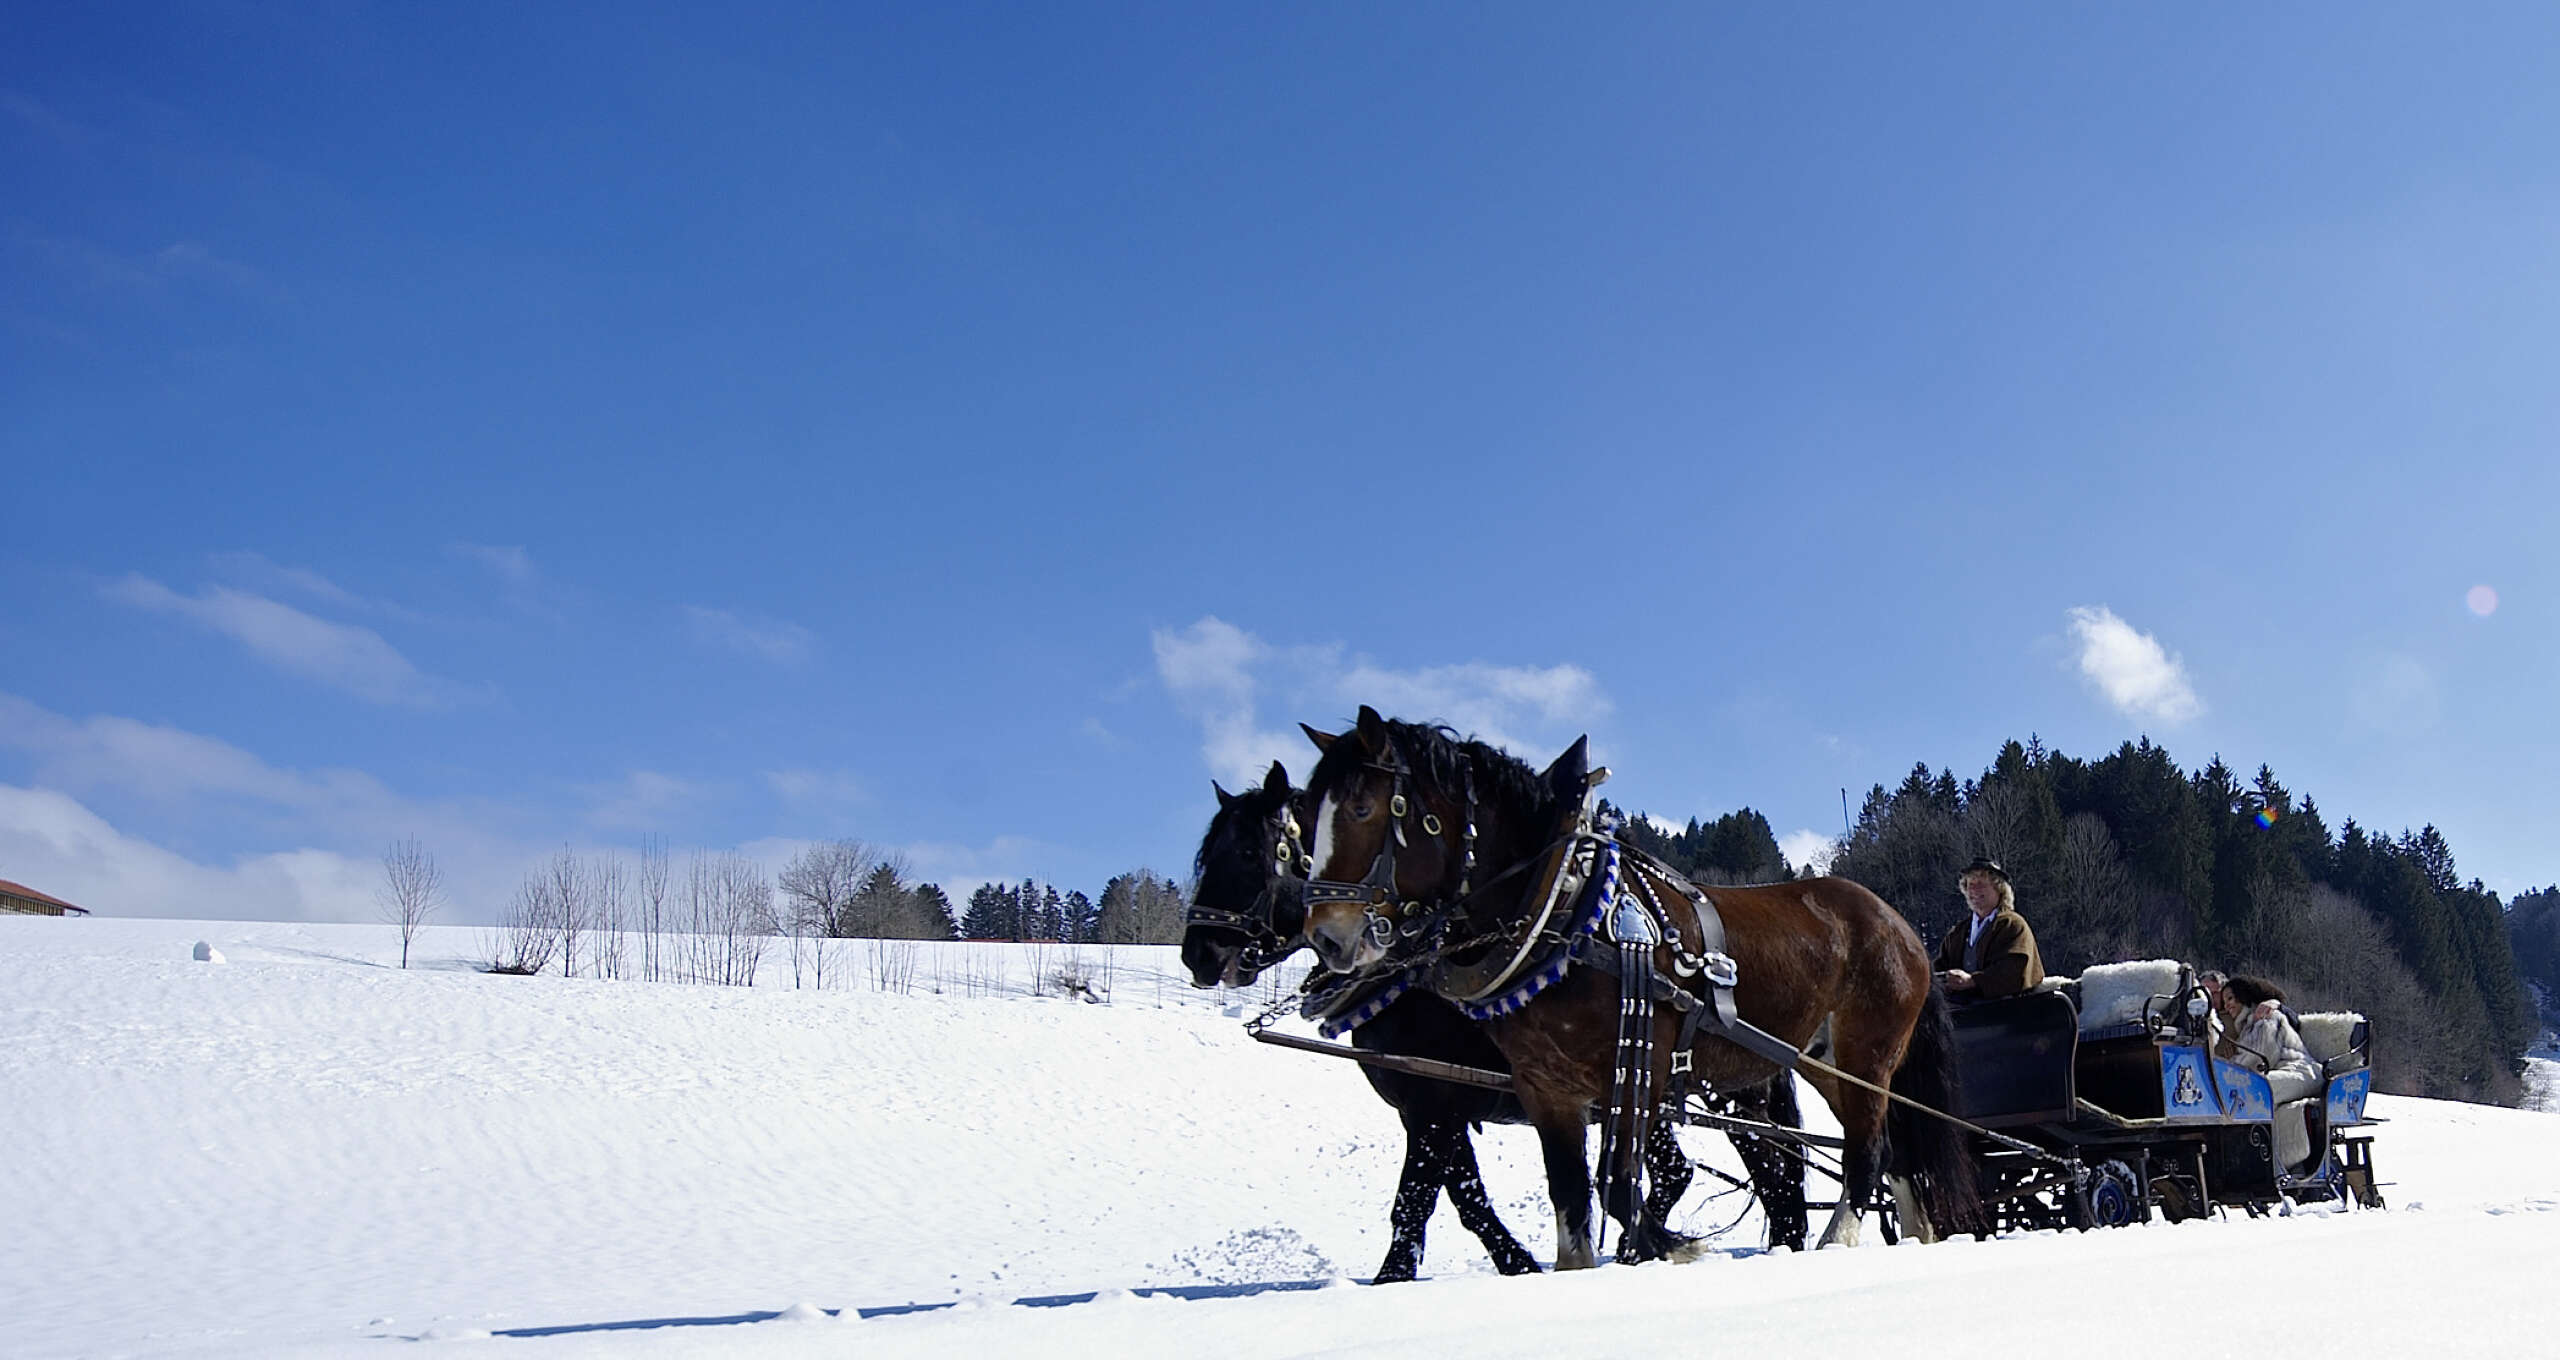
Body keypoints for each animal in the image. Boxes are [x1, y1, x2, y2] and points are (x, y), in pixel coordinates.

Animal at [1187, 763, 1812, 1280]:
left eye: (1250, 853)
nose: (1199, 953)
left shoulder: (1433, 1105)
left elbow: (1416, 1202)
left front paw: (1396, 1278)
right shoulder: (1432, 1106)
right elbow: (1466, 1198)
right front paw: (1518, 1263)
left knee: (1725, 1171)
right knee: (1756, 1172)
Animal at [1300, 706, 1976, 1270]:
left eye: (1362, 810)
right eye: (1307, 824)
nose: (1329, 936)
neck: (1565, 908)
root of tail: (1902, 927)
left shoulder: (1632, 1072)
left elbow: (1623, 1186)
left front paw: (1671, 1247)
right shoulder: (1543, 1088)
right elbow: (1571, 1203)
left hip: (1867, 1055)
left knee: (1868, 1156)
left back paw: (1836, 1243)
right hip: (1823, 1060)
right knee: (1894, 1155)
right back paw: (1916, 1237)